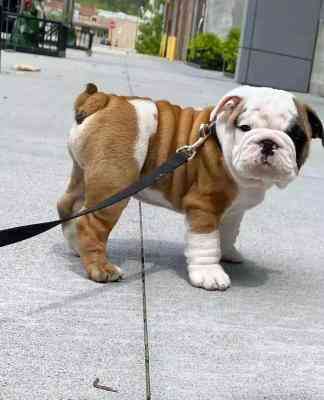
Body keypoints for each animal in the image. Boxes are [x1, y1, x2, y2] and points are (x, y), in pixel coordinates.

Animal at [57, 84, 322, 290]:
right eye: (245, 127)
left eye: (296, 136)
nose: (267, 142)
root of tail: (102, 99)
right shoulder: (204, 205)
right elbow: (206, 242)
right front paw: (209, 274)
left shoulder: (234, 211)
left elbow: (228, 233)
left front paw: (229, 253)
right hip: (113, 184)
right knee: (90, 223)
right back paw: (101, 268)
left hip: (85, 175)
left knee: (68, 204)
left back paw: (76, 247)